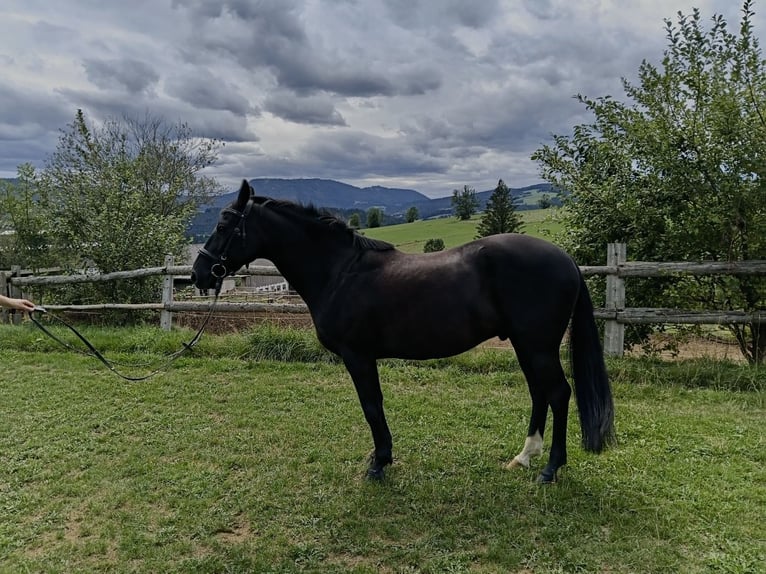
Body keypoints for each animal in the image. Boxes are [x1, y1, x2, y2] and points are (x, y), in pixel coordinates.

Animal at [191, 180, 615, 483]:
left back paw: (550, 469)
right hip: (527, 345)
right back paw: (525, 457)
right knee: (539, 393)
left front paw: (379, 464)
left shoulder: (358, 357)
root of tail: (566, 260)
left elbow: (372, 407)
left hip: (537, 345)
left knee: (558, 394)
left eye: (224, 225)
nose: (198, 273)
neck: (340, 271)